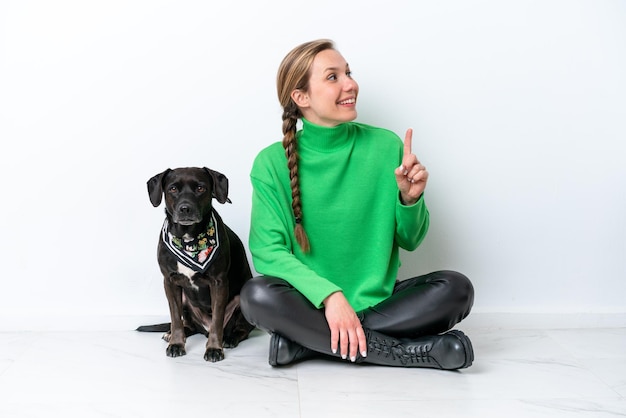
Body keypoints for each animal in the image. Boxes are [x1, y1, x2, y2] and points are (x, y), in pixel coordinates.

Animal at [137, 167, 254, 362]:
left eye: (200, 188)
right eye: (173, 189)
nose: (185, 208)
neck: (188, 239)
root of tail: (202, 329)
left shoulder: (218, 283)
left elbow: (217, 321)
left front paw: (214, 348)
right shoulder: (170, 282)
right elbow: (175, 318)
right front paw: (176, 344)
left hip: (241, 300)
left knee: (241, 329)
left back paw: (230, 338)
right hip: (185, 299)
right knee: (188, 325)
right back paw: (173, 333)